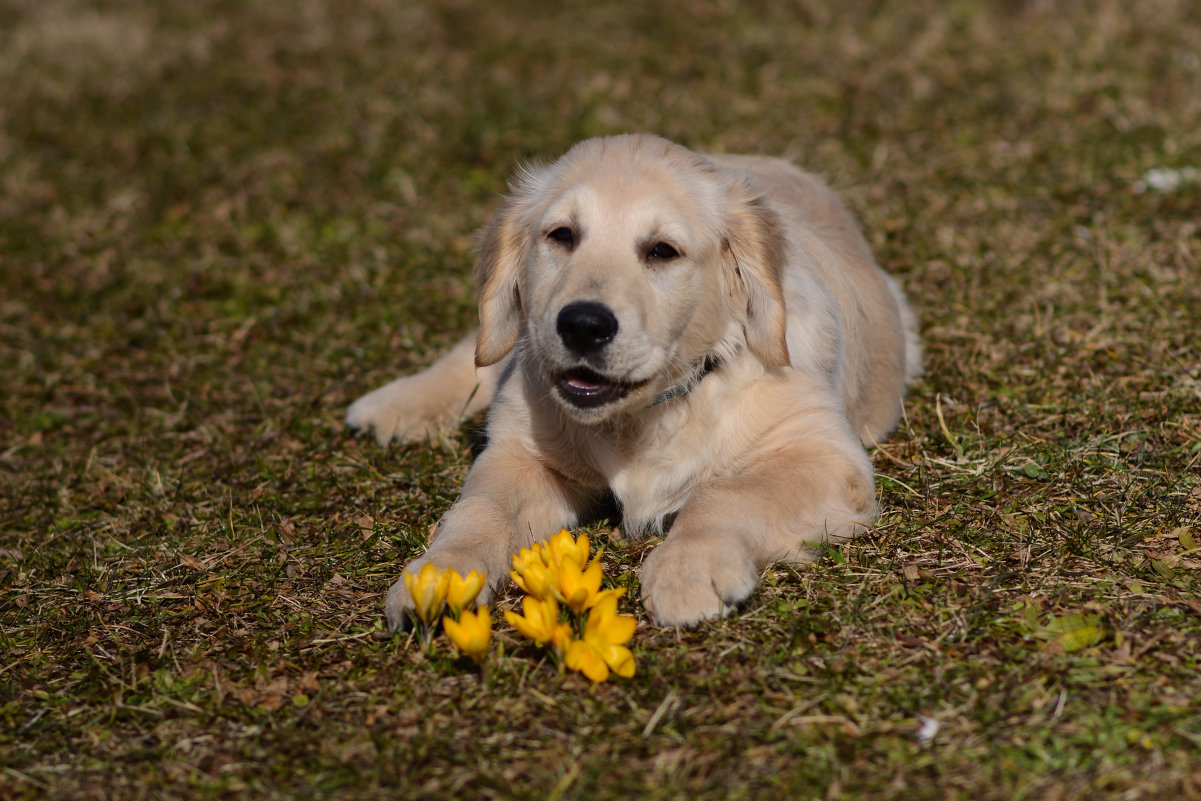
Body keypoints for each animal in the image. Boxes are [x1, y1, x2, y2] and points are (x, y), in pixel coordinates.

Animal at [348, 134, 917, 629]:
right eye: (562, 236)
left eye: (662, 251)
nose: (582, 325)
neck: (650, 412)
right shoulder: (521, 452)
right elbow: (480, 509)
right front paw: (440, 575)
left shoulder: (825, 457)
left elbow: (725, 495)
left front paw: (688, 570)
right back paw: (393, 406)